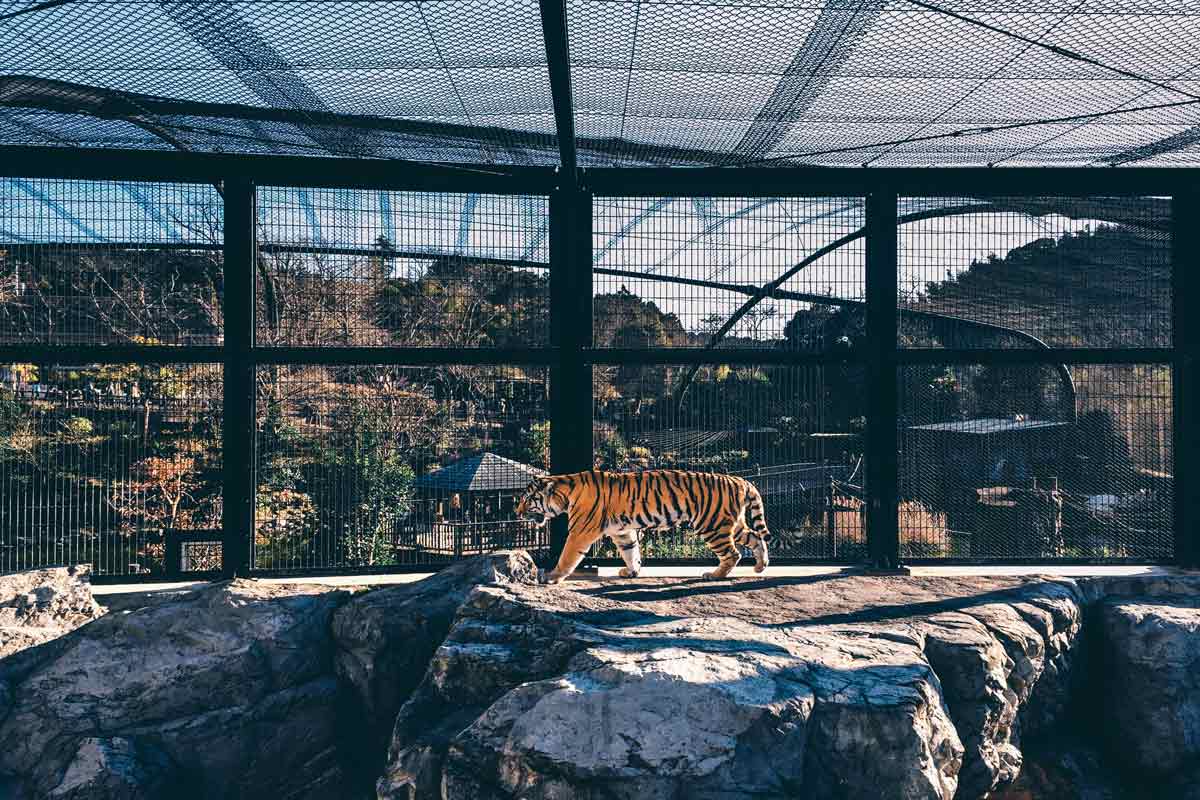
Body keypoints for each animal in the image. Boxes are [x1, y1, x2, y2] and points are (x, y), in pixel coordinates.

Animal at [513, 470, 772, 587]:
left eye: (528, 499)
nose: (516, 512)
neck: (565, 492)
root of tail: (740, 480)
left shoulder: (580, 532)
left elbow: (567, 556)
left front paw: (552, 576)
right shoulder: (622, 531)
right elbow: (631, 551)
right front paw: (632, 571)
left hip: (711, 525)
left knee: (733, 553)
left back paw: (714, 575)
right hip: (731, 524)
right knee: (756, 538)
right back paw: (760, 566)